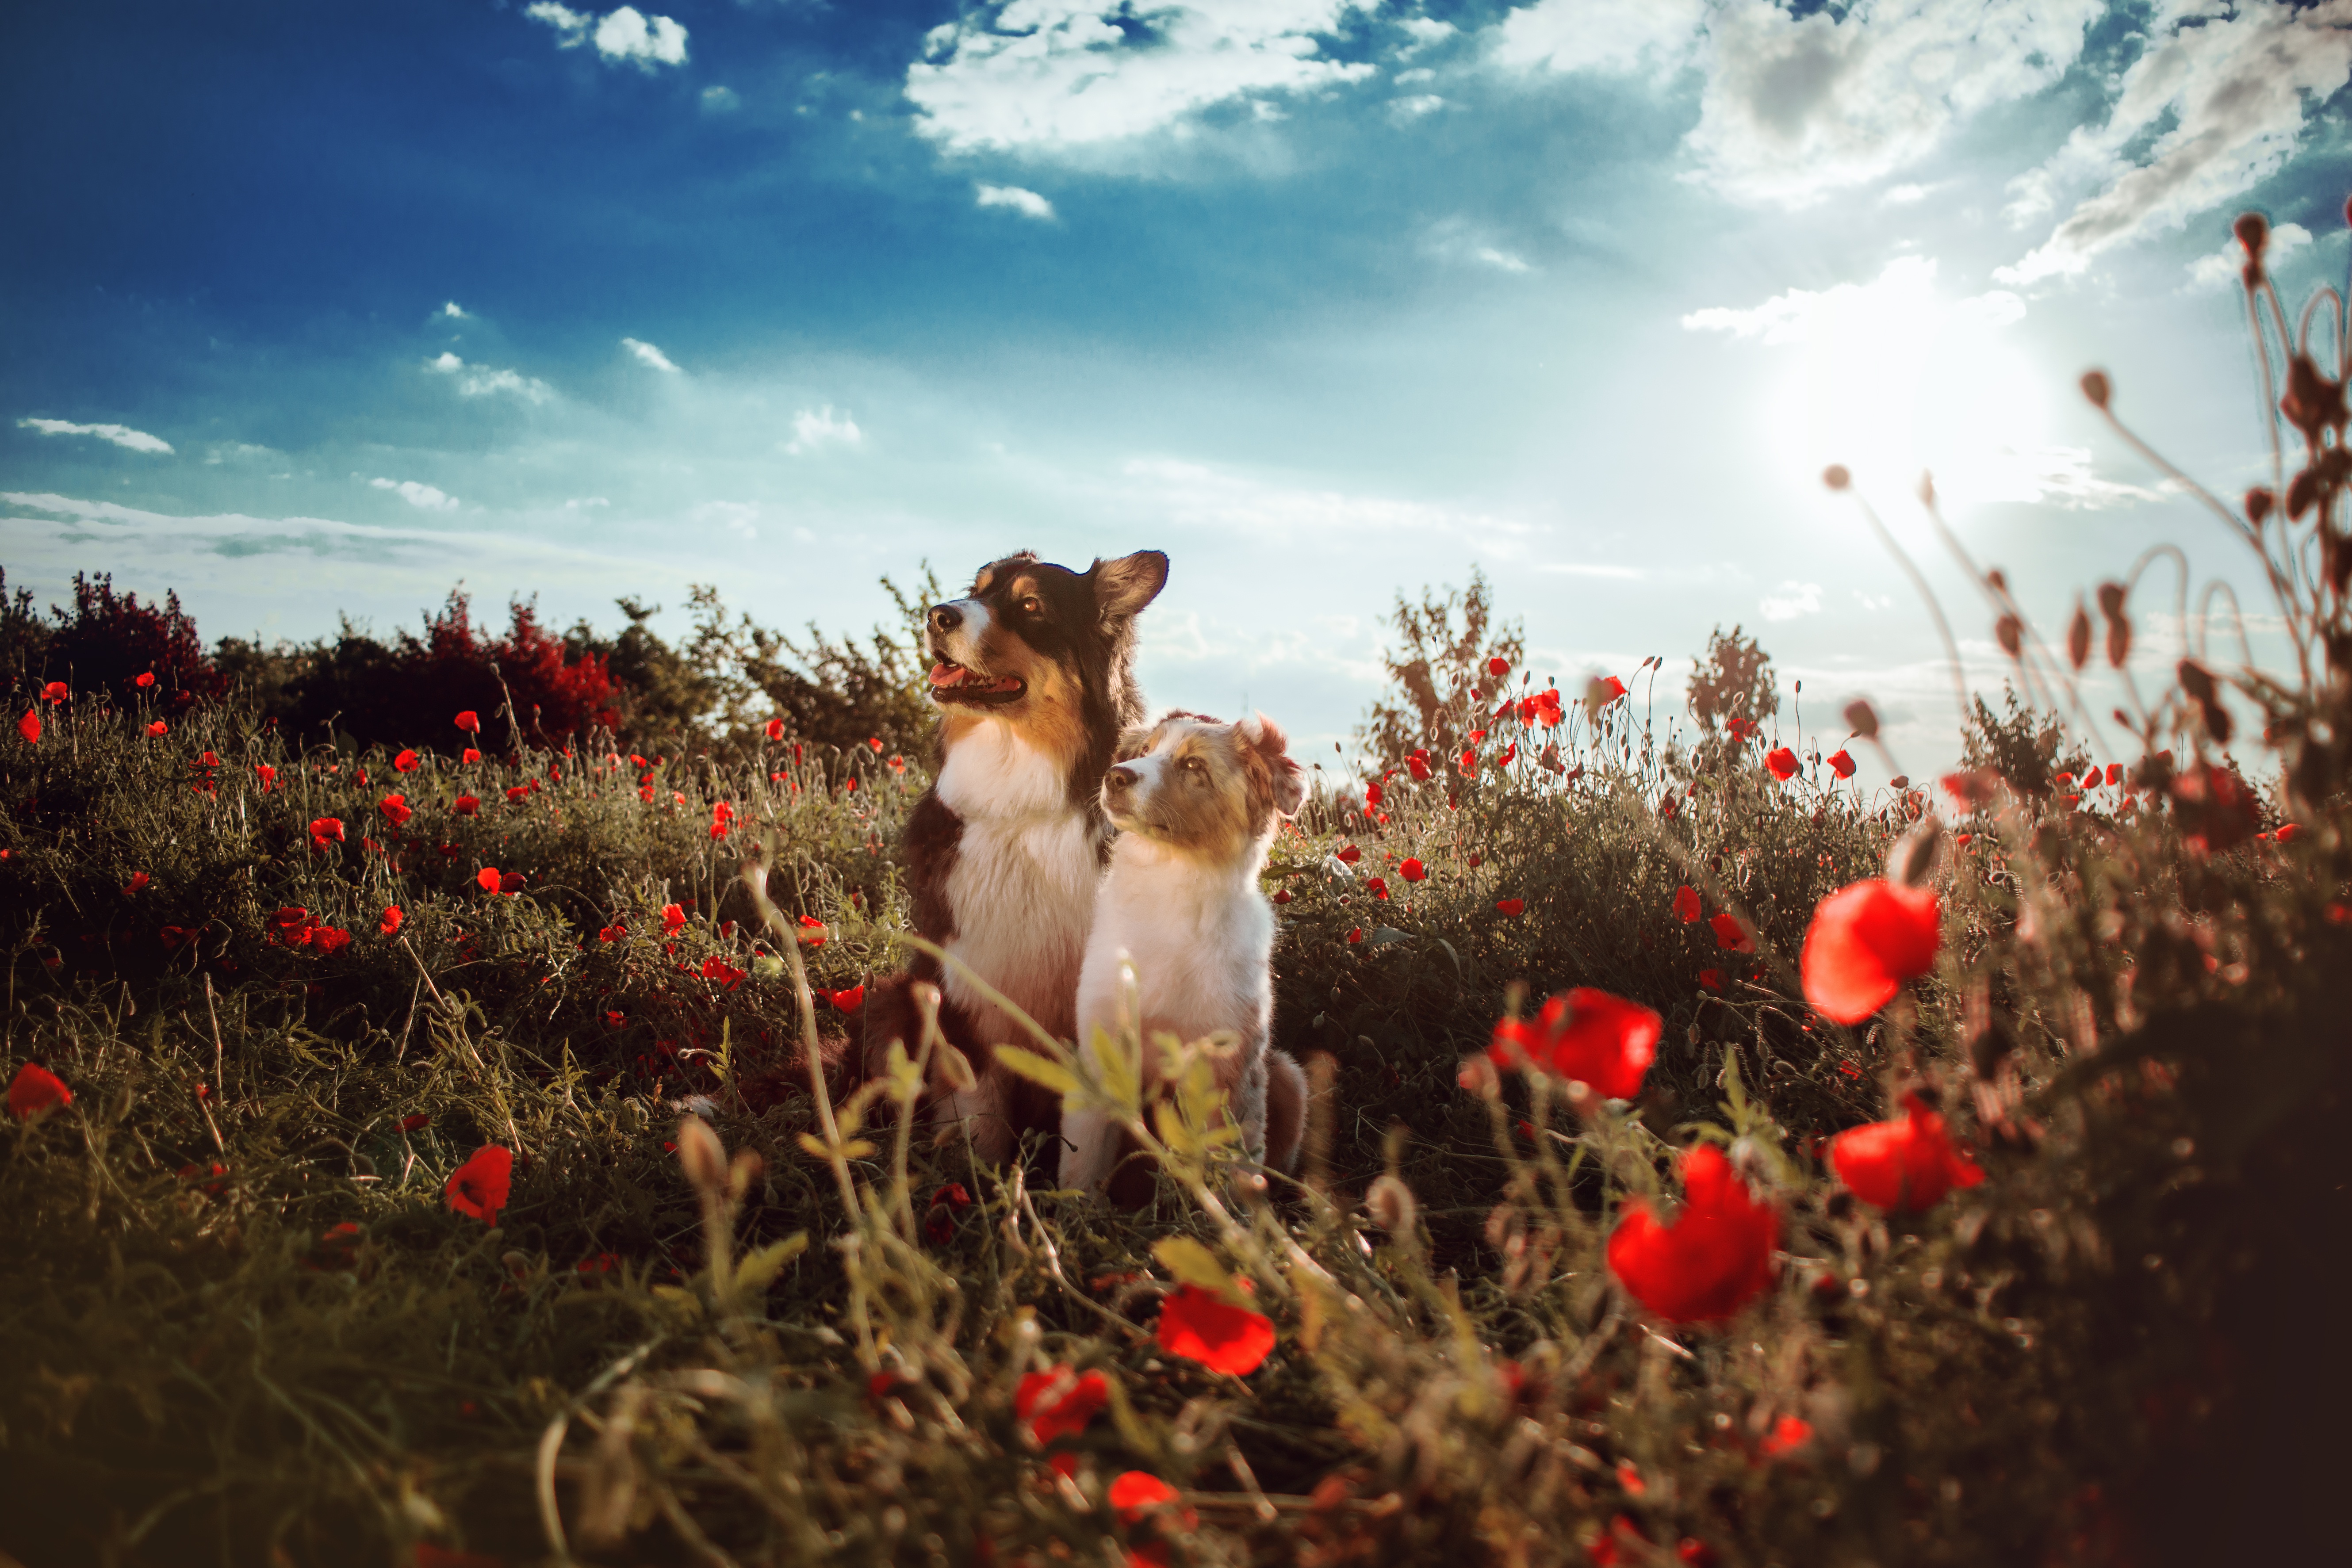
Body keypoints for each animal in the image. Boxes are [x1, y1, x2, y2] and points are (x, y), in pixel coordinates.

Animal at [856, 552, 1166, 1166]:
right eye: (974, 590)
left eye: (1029, 605)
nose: (937, 615)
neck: (1020, 804)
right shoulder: (962, 992)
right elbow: (978, 1127)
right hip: (895, 1004)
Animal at [1063, 705, 1317, 1194]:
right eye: (1144, 751)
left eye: (1194, 765)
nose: (1115, 776)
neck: (1173, 887)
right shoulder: (1101, 1051)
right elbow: (1081, 1166)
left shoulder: (1230, 1069)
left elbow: (1236, 1172)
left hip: (1287, 1075)